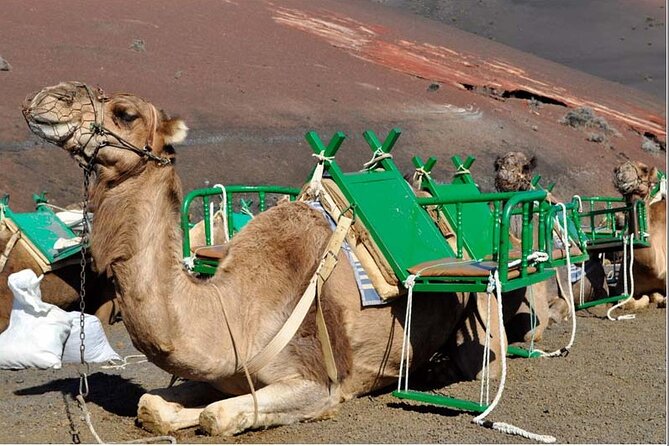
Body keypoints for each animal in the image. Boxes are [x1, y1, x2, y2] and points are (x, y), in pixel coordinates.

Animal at [23, 82, 508, 438]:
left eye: (124, 113)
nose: (47, 97)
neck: (238, 308)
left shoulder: (319, 383)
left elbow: (218, 416)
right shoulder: (228, 372)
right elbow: (155, 406)